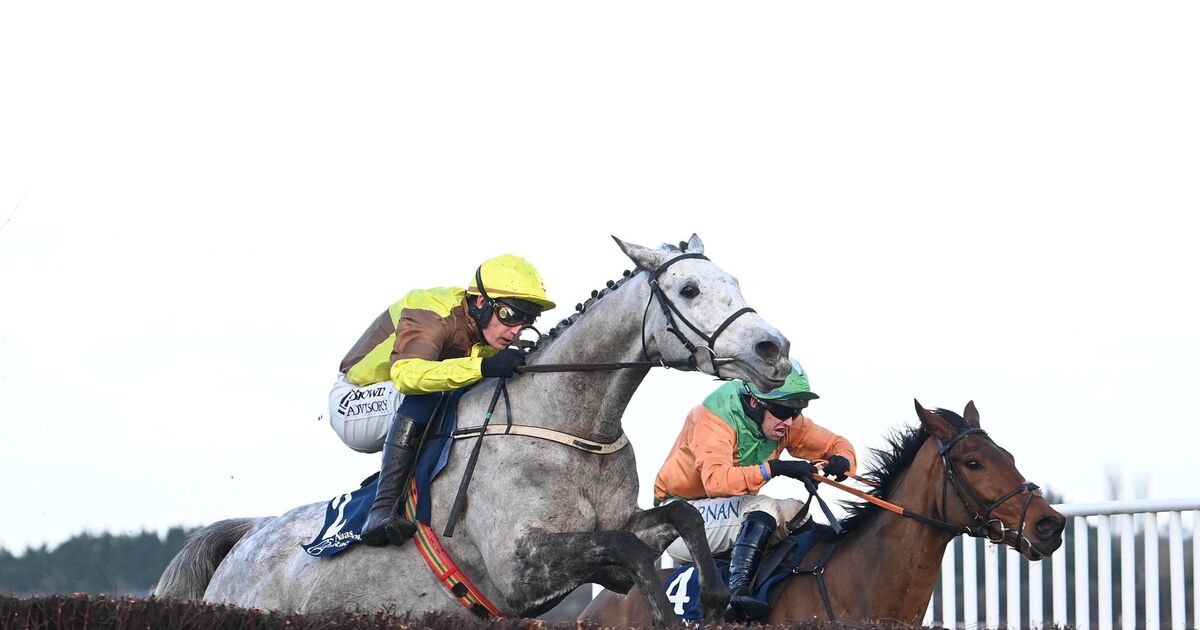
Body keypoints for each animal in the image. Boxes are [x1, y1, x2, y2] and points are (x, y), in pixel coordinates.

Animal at [153, 234, 793, 628]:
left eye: (735, 282)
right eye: (689, 290)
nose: (774, 348)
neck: (569, 425)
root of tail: (246, 539)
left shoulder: (615, 525)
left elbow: (680, 515)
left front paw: (716, 596)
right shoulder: (520, 567)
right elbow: (629, 550)